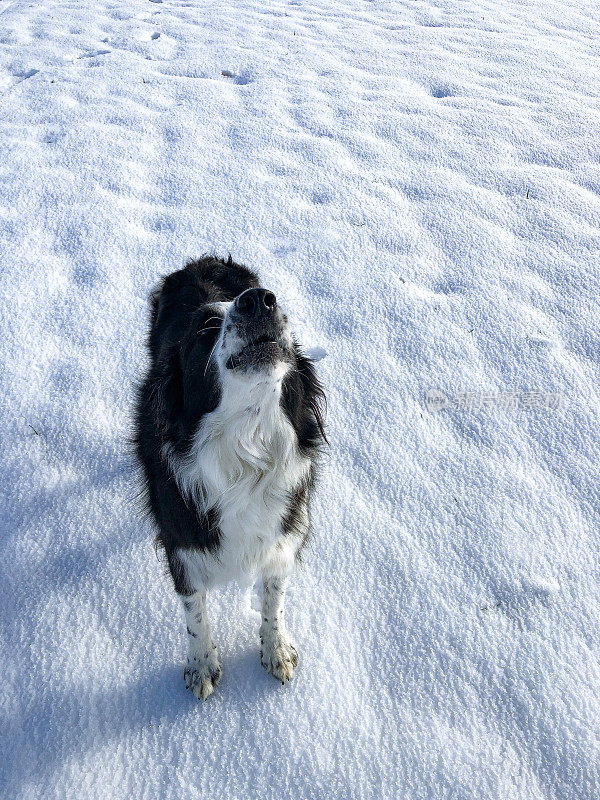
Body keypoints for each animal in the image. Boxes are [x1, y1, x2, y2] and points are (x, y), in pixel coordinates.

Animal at [134, 256, 326, 700]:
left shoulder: (284, 533)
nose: (259, 301)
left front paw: (276, 649)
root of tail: (203, 259)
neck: (246, 447)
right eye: (206, 328)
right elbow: (194, 612)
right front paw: (201, 665)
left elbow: (274, 598)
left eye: (273, 302)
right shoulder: (183, 542)